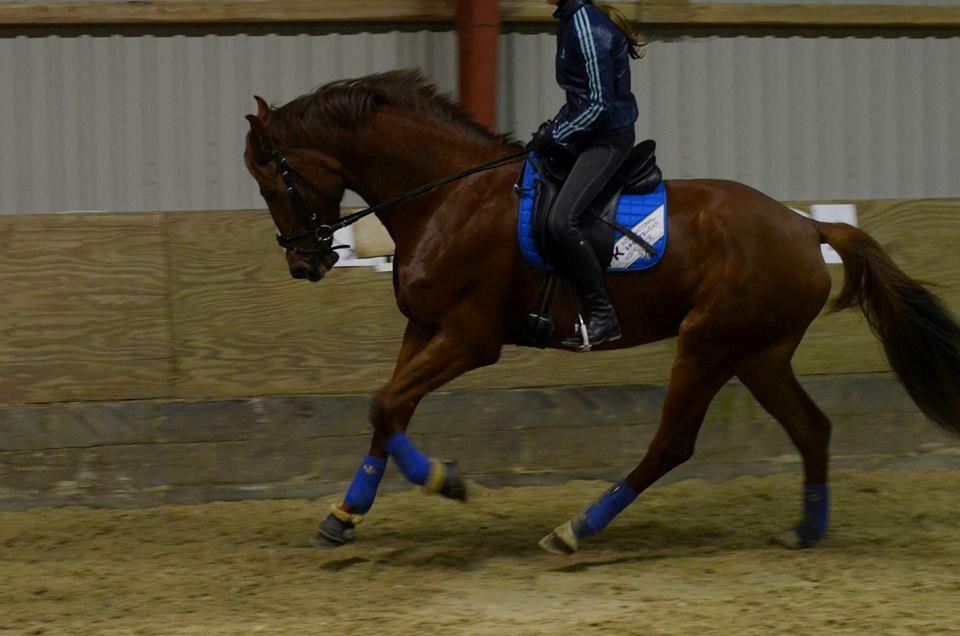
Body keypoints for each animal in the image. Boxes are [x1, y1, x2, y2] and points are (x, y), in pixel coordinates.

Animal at [246, 72, 960, 556]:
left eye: (272, 178)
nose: (304, 263)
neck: (451, 196)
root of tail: (805, 226)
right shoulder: (422, 328)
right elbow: (387, 410)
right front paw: (344, 516)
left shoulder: (470, 338)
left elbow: (385, 405)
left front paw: (445, 482)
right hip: (758, 354)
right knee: (812, 429)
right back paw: (807, 531)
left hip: (708, 345)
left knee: (672, 444)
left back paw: (576, 528)